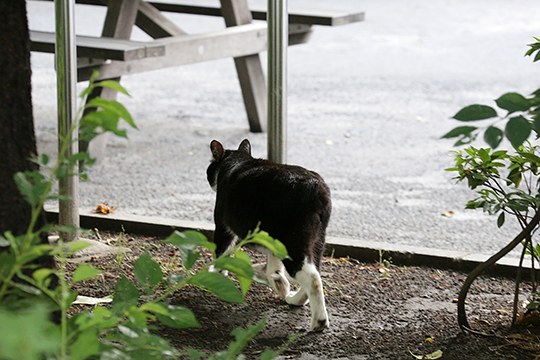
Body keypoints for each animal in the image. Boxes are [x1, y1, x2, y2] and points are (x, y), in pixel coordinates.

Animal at [207, 139, 332, 332]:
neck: (237, 161)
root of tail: (315, 187)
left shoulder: (223, 226)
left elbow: (221, 253)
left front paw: (217, 273)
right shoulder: (273, 243)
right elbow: (273, 267)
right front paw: (277, 281)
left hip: (293, 242)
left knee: (312, 277)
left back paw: (319, 322)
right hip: (317, 240)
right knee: (315, 270)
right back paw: (295, 299)